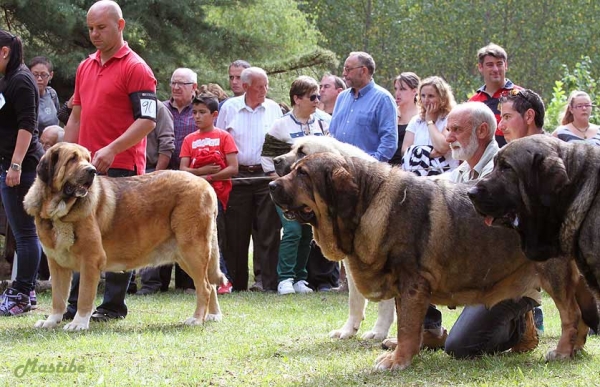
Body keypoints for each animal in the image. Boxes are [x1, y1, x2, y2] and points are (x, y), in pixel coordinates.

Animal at [22, 144, 225, 332]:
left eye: (87, 159)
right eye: (72, 159)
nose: (92, 170)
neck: (60, 211)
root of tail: (205, 184)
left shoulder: (90, 260)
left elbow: (84, 296)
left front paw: (78, 323)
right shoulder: (57, 264)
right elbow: (58, 298)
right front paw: (51, 321)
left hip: (192, 251)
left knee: (205, 287)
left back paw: (197, 319)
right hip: (186, 256)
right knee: (210, 284)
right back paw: (213, 315)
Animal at [270, 153, 596, 372]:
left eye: (303, 174)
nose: (271, 185)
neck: (367, 201)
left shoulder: (412, 283)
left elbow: (406, 328)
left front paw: (397, 361)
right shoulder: (405, 289)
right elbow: (409, 326)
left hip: (554, 274)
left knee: (571, 316)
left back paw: (562, 351)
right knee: (580, 318)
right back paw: (572, 350)